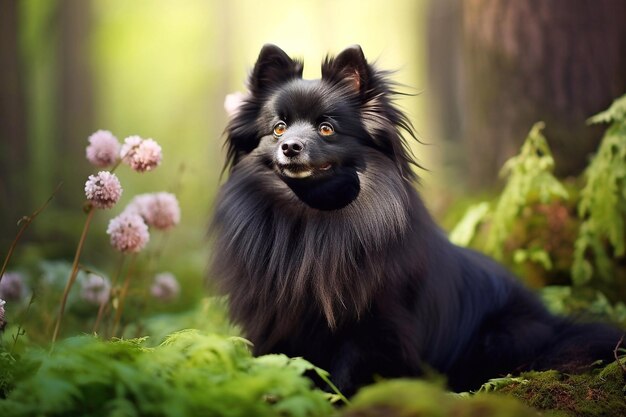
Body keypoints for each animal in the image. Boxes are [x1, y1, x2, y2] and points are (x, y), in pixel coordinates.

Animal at [210, 44, 620, 394]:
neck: (313, 212)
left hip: (502, 335)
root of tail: (552, 325)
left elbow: (351, 370)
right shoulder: (277, 318)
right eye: (278, 128)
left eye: (327, 129)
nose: (290, 146)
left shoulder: (375, 325)